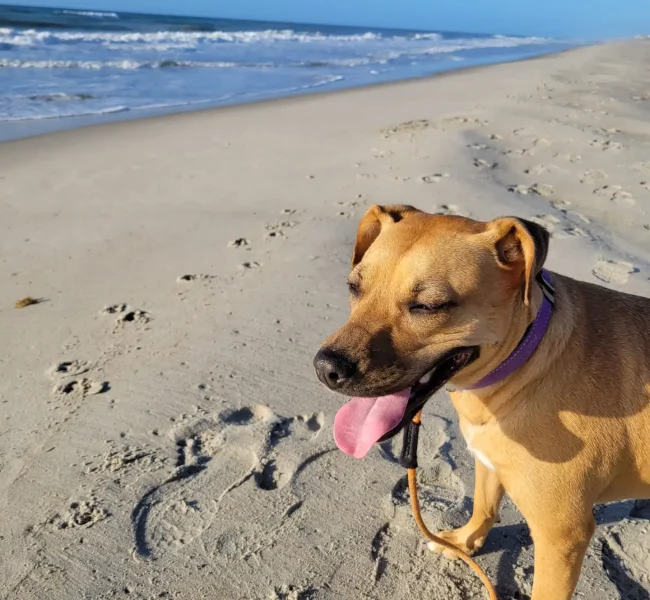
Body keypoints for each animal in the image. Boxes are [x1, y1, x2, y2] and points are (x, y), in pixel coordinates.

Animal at [312, 204, 648, 596]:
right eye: (354, 287)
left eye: (429, 306)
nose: (325, 368)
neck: (526, 359)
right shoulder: (487, 461)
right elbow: (484, 505)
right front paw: (465, 542)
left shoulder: (562, 536)